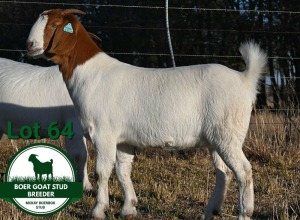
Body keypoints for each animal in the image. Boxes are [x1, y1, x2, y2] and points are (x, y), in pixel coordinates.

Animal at [27, 9, 268, 220]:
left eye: (54, 25)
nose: (29, 45)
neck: (89, 73)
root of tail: (244, 80)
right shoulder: (123, 139)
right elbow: (123, 171)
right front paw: (128, 209)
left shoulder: (103, 134)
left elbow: (102, 172)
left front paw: (98, 210)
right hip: (216, 139)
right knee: (223, 172)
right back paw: (210, 211)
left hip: (228, 134)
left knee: (244, 171)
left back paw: (244, 213)